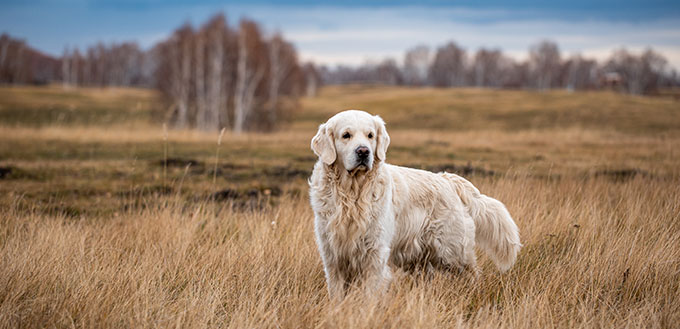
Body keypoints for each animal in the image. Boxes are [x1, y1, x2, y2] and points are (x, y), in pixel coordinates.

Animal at [308, 109, 520, 298]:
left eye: (370, 135)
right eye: (346, 135)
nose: (363, 152)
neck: (352, 194)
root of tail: (448, 179)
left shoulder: (375, 254)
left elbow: (369, 294)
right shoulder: (333, 257)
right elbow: (337, 295)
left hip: (452, 252)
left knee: (472, 273)